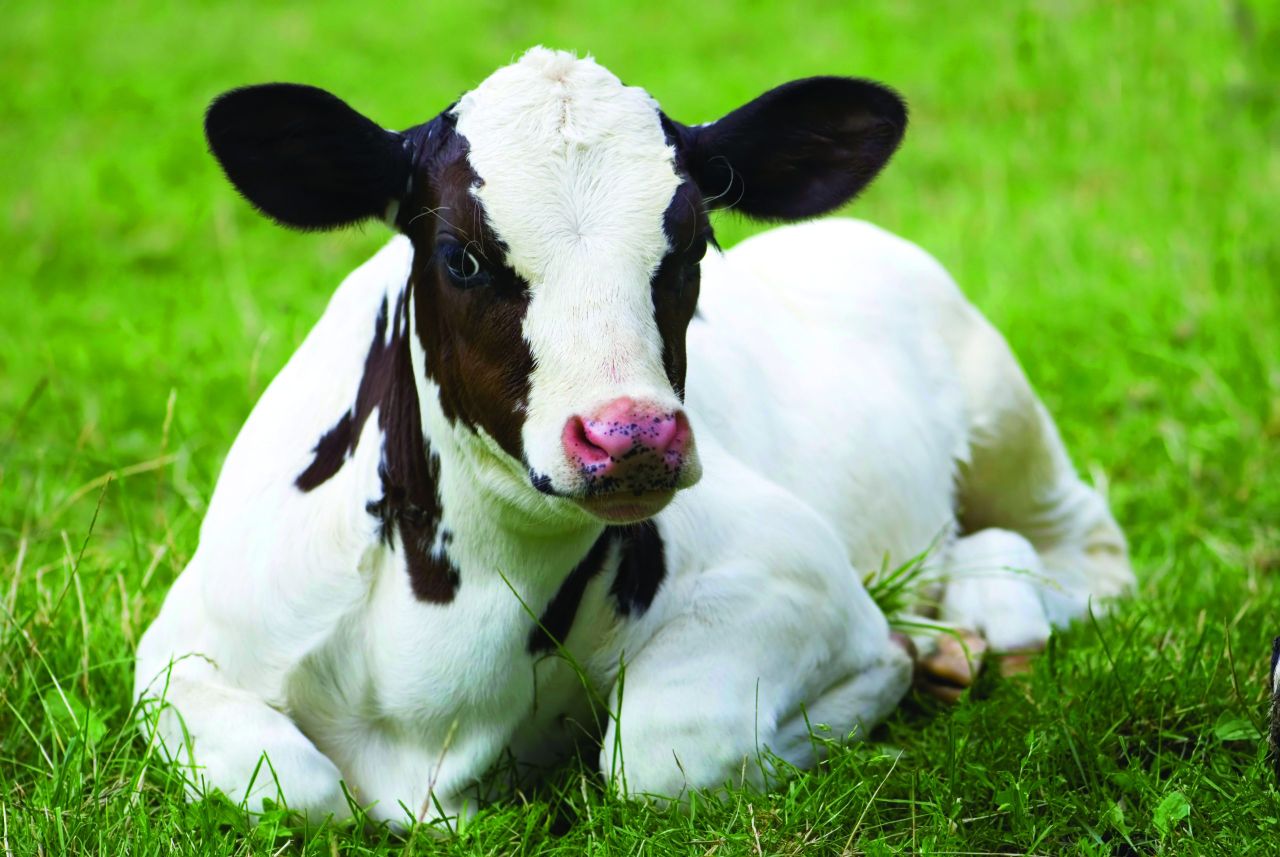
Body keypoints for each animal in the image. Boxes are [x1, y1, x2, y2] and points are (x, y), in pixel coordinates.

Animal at [134, 47, 1133, 829]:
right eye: (461, 254)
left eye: (689, 242)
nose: (631, 436)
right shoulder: (179, 653)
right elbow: (297, 785)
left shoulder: (798, 576)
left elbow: (657, 751)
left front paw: (893, 674)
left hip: (1006, 410)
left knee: (1086, 550)